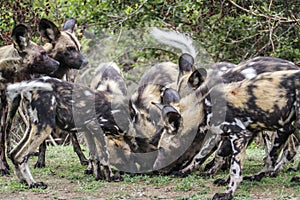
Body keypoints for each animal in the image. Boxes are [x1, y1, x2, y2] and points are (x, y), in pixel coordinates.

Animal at [0, 23, 59, 175]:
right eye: (42, 53)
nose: (57, 63)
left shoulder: (4, 104)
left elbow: (1, 136)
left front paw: (3, 166)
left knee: (7, 131)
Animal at [35, 17, 89, 169]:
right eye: (70, 48)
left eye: (79, 48)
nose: (86, 62)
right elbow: (42, 143)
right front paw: (40, 161)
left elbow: (75, 140)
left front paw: (83, 159)